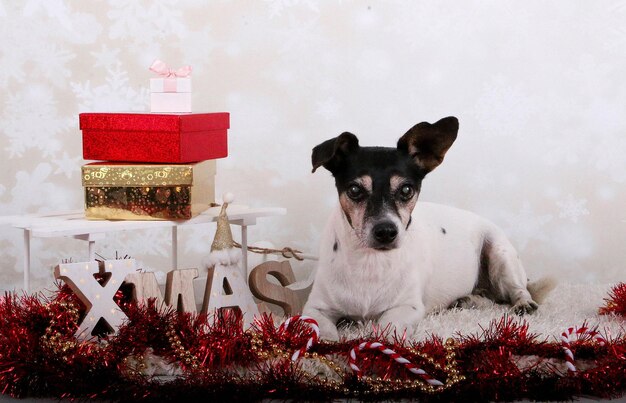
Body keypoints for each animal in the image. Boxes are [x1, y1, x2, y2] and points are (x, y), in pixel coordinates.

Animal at [302, 116, 552, 340]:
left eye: (406, 190)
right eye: (354, 190)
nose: (386, 231)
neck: (369, 262)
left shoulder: (407, 307)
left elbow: (386, 328)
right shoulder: (315, 309)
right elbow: (323, 332)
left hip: (500, 253)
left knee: (515, 291)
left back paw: (523, 303)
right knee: (490, 297)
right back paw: (469, 300)